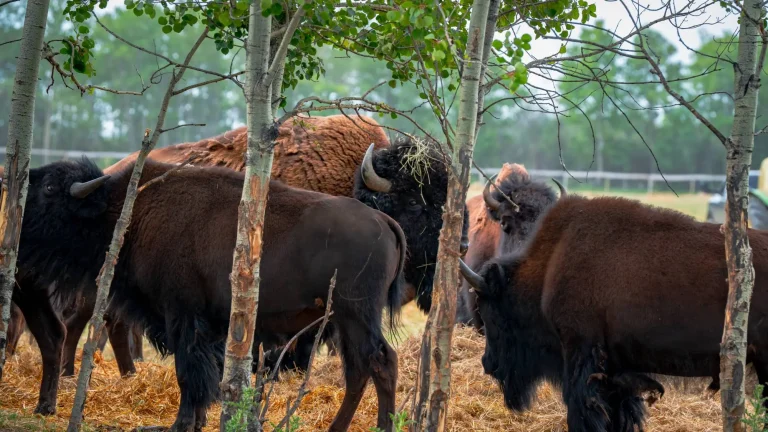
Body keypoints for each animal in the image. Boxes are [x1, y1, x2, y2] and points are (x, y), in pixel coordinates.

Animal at [14, 157, 406, 432]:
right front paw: (198, 421)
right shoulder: (210, 326)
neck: (128, 209)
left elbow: (188, 371)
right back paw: (338, 427)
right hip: (344, 320)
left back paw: (381, 427)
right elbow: (207, 374)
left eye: (48, 188)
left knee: (380, 362)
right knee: (359, 370)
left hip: (357, 313)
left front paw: (181, 424)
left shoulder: (182, 316)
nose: (16, 216)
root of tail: (383, 221)